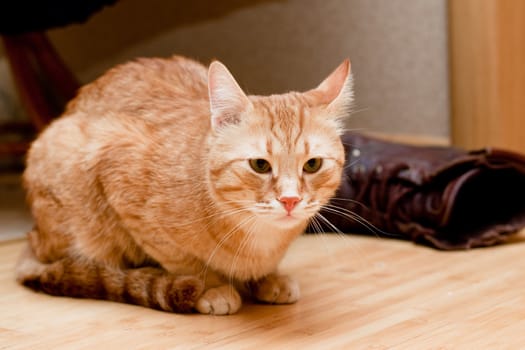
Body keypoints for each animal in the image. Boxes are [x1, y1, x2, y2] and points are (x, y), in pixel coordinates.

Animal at [16, 55, 352, 314]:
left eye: (312, 165)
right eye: (260, 165)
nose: (290, 200)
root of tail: (33, 235)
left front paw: (269, 277)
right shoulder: (123, 176)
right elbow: (185, 262)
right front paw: (211, 287)